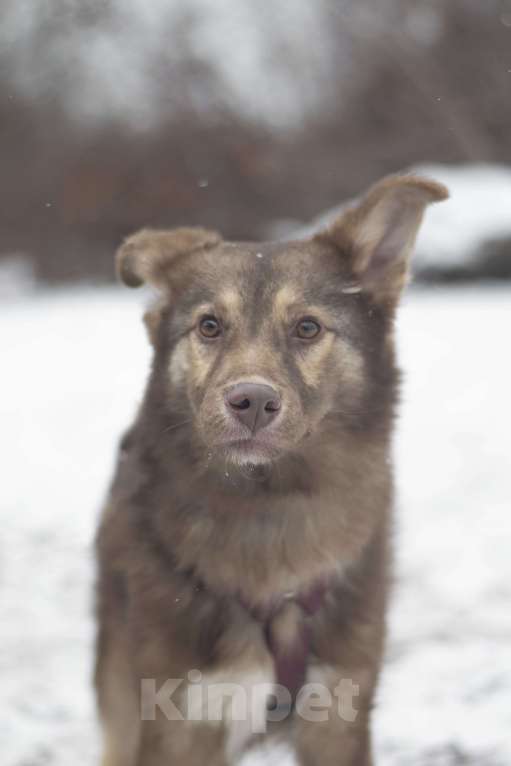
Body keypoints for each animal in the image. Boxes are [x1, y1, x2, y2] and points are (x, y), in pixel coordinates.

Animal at [95, 176, 448, 766]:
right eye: (209, 326)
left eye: (307, 327)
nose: (253, 402)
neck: (270, 509)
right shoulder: (178, 718)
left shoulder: (338, 713)